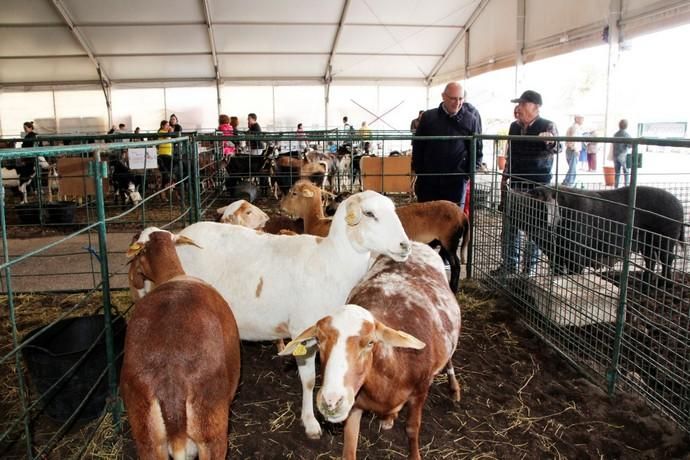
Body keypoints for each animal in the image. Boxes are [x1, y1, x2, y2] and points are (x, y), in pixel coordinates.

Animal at [127, 190, 408, 438]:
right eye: (369, 213)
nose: (405, 245)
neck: (331, 261)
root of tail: (179, 235)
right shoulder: (303, 330)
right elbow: (308, 380)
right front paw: (310, 423)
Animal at [280, 241, 462, 460]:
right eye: (319, 340)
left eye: (369, 343)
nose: (331, 402)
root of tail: (419, 243)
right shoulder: (355, 405)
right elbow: (349, 447)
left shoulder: (420, 391)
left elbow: (412, 428)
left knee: (450, 358)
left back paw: (454, 388)